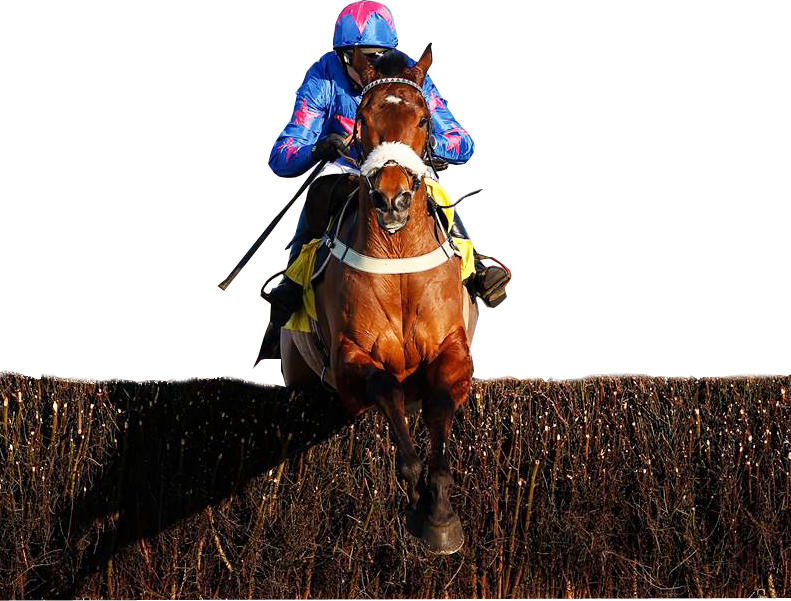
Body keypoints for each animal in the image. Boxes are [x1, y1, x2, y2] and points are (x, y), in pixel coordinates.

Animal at [263, 44, 476, 554]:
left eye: (424, 118)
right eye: (362, 117)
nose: (392, 200)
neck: (397, 257)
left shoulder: (453, 350)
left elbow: (439, 406)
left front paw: (441, 514)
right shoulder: (349, 362)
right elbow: (386, 387)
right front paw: (417, 497)